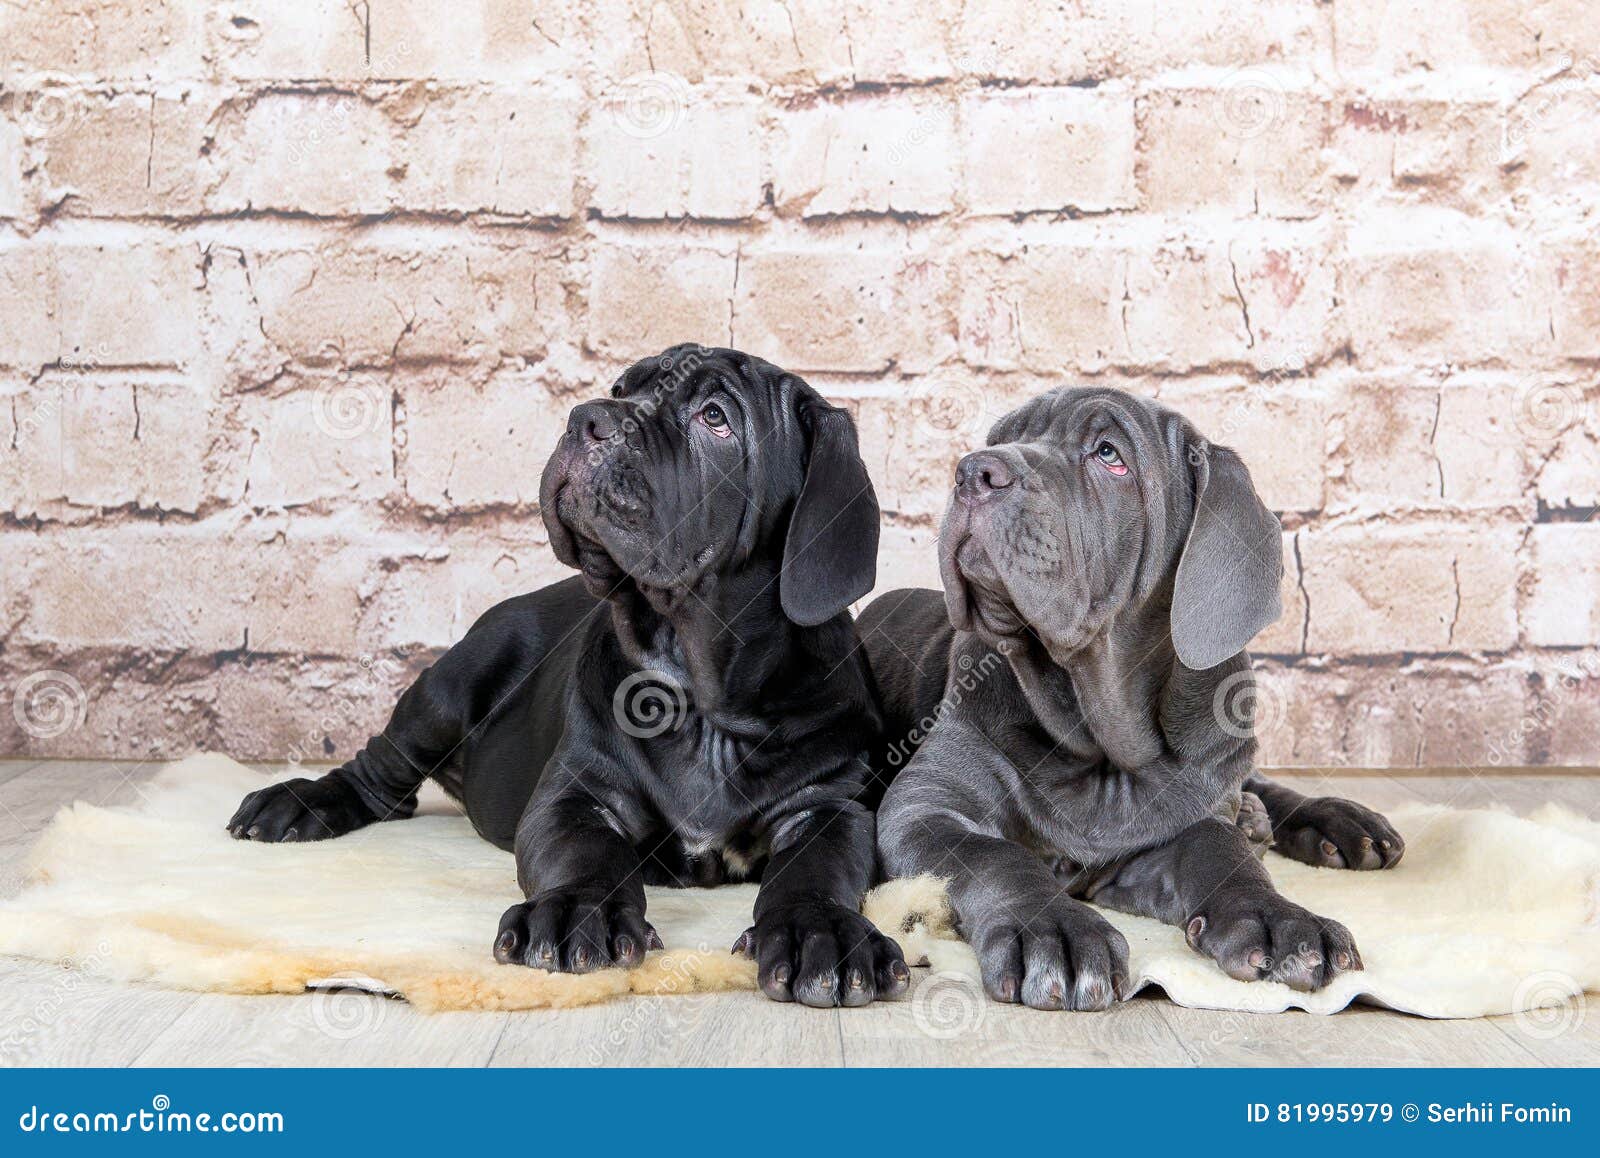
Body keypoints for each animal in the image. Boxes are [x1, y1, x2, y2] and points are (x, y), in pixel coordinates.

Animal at [233, 343, 915, 1004]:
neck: (701, 695)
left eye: (715, 417)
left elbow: (815, 871)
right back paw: (300, 802)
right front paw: (575, 913)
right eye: (621, 389)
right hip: (447, 688)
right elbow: (588, 855)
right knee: (380, 772)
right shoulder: (577, 794)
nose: (588, 417)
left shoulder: (827, 806)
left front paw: (819, 932)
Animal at [864, 383, 1401, 1010]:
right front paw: (1054, 930)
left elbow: (1218, 850)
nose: (975, 470)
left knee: (1253, 782)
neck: (1099, 743)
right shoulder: (924, 808)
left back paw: (1332, 820)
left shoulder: (1170, 830)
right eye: (1002, 438)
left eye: (1109, 454)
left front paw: (1280, 918)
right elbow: (997, 855)